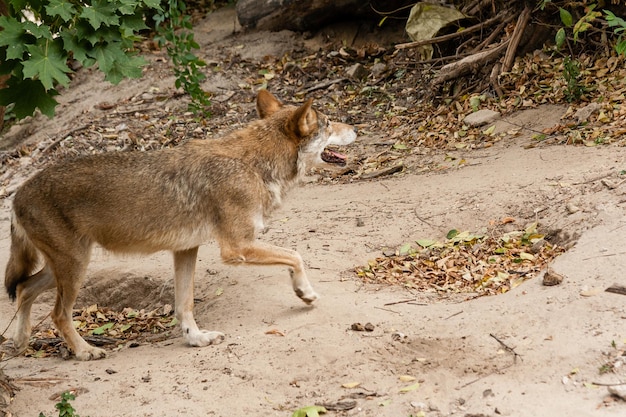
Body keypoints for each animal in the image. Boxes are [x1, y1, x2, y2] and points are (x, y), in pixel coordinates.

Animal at [3, 89, 356, 360]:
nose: (355, 127)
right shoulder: (238, 247)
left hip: (64, 267)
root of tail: (17, 194)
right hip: (75, 267)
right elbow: (296, 255)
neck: (253, 165)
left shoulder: (186, 249)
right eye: (328, 124)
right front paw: (305, 293)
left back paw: (19, 343)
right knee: (57, 313)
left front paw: (196, 338)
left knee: (23, 289)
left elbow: (184, 304)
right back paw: (84, 351)